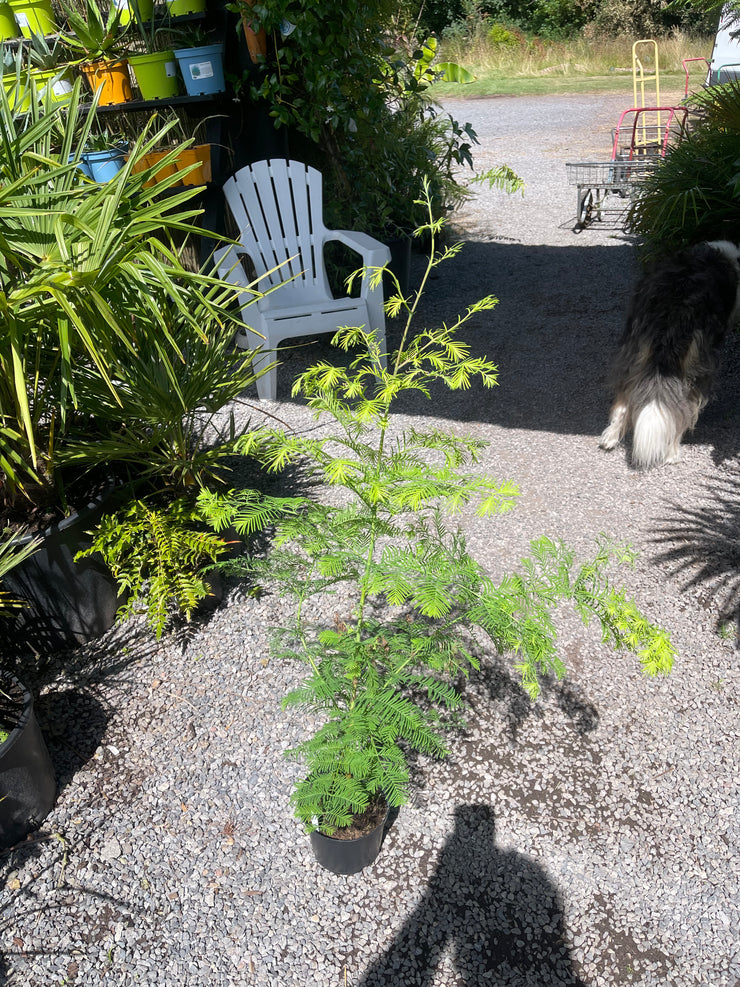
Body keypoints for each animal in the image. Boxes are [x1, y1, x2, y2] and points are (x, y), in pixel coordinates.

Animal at [600, 241, 740, 468]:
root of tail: (673, 312)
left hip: (632, 350)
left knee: (623, 398)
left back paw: (610, 437)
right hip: (696, 365)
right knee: (683, 408)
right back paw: (672, 453)